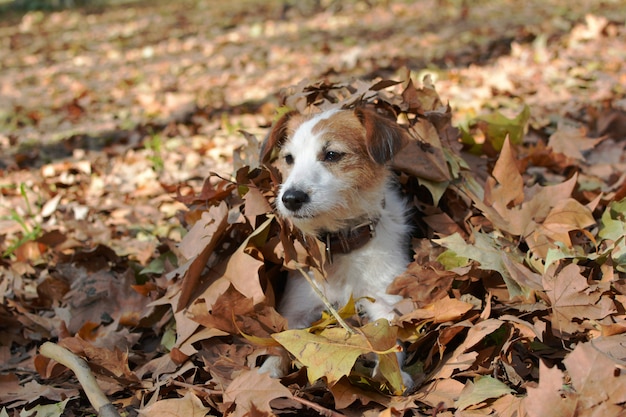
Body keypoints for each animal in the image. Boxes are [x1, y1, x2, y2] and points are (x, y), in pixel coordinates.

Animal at [258, 106, 410, 384]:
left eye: (331, 154)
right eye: (289, 158)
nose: (291, 198)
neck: (341, 242)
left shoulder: (388, 303)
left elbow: (391, 337)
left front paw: (391, 374)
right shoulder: (296, 309)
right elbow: (283, 342)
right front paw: (268, 370)